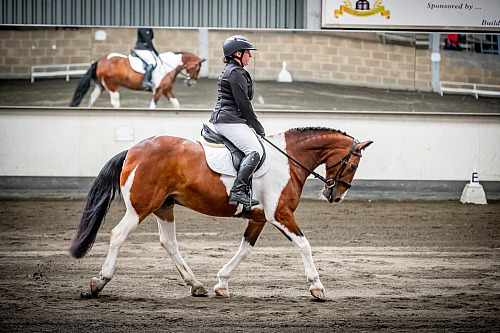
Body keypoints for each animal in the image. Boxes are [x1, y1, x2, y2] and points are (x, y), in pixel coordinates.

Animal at [69, 51, 204, 109]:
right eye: (197, 69)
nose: (192, 83)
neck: (168, 66)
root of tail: (99, 61)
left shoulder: (167, 90)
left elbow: (176, 104)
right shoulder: (159, 90)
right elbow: (153, 106)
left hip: (101, 86)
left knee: (92, 99)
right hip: (111, 85)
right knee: (115, 102)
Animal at [69, 126, 372, 300]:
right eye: (352, 164)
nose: (335, 196)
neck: (287, 159)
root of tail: (133, 149)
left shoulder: (260, 218)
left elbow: (245, 249)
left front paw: (222, 282)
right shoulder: (279, 214)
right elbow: (304, 244)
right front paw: (317, 286)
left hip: (164, 207)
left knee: (169, 243)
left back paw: (196, 284)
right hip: (140, 207)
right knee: (118, 235)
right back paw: (99, 282)